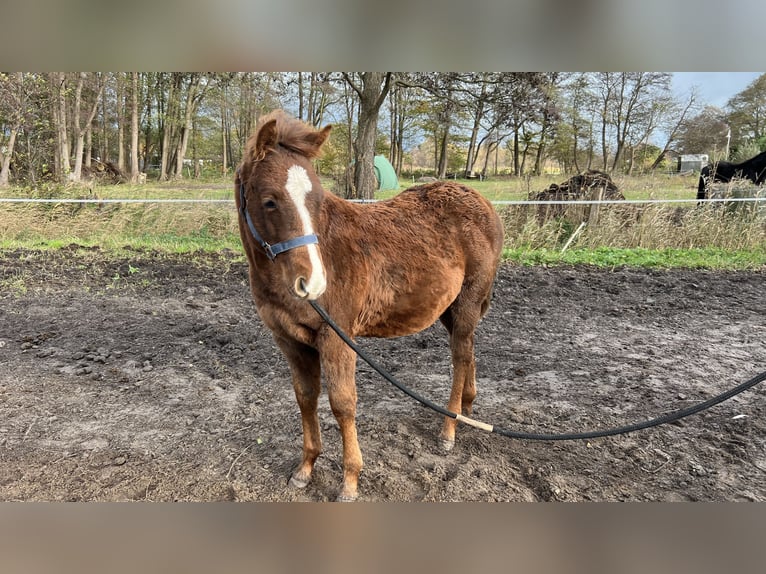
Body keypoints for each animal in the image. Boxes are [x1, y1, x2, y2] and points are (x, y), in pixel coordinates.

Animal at [237, 110, 508, 502]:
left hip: (468, 302)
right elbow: (305, 397)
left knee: (459, 359)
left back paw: (448, 430)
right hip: (449, 309)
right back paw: (467, 410)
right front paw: (305, 469)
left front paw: (350, 482)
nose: (313, 283)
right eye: (270, 201)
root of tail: (483, 203)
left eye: (317, 200)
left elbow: (342, 404)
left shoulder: (337, 337)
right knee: (469, 351)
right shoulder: (289, 341)